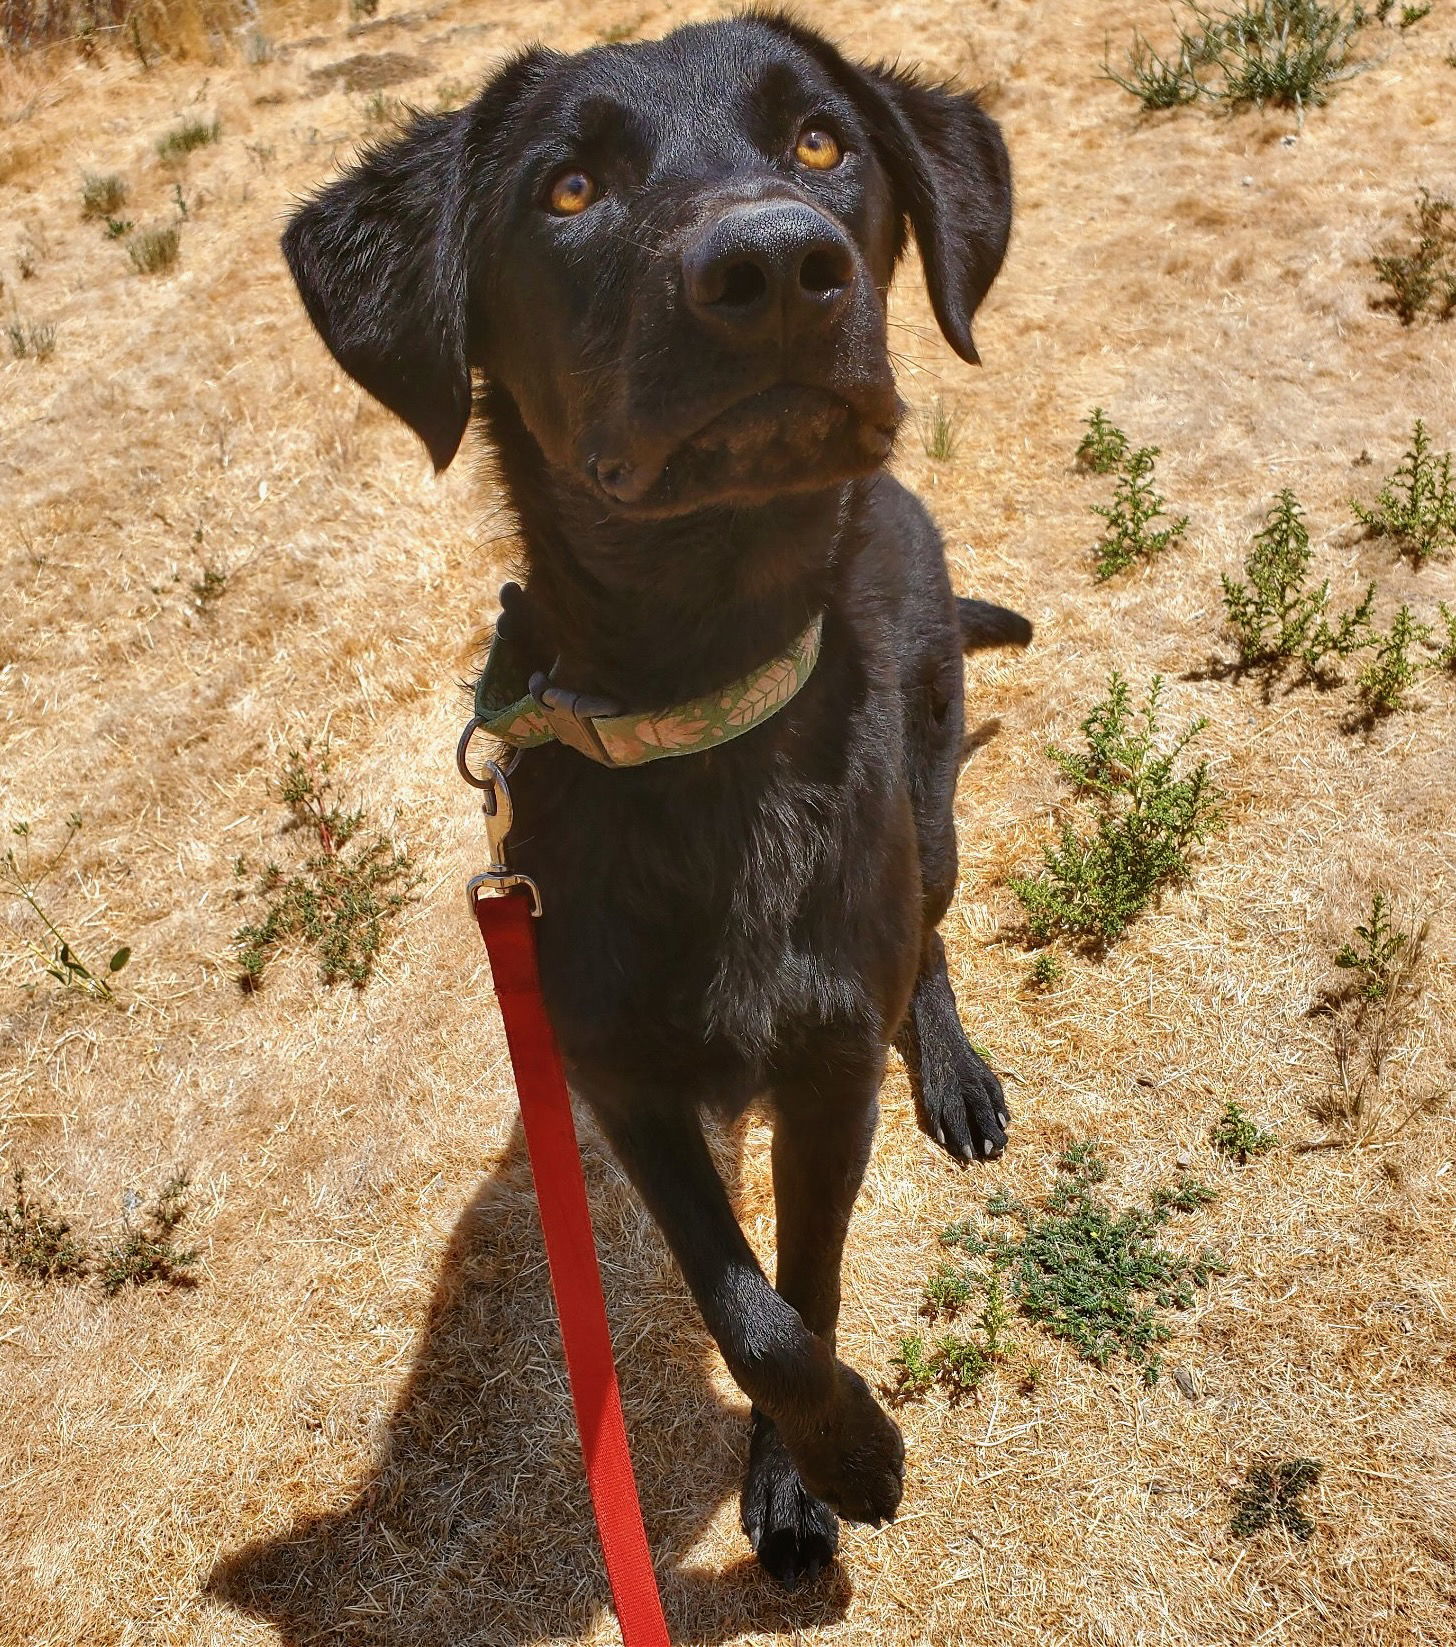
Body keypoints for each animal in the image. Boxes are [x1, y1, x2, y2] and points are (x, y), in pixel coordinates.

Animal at [284, 6, 1027, 1587]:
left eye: (822, 141)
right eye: (567, 190)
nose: (775, 268)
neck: (704, 716)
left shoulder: (826, 1071)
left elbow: (805, 1283)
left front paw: (813, 1473)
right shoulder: (619, 1083)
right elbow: (745, 1304)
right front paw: (844, 1450)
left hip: (926, 802)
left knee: (927, 929)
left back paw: (951, 1065)